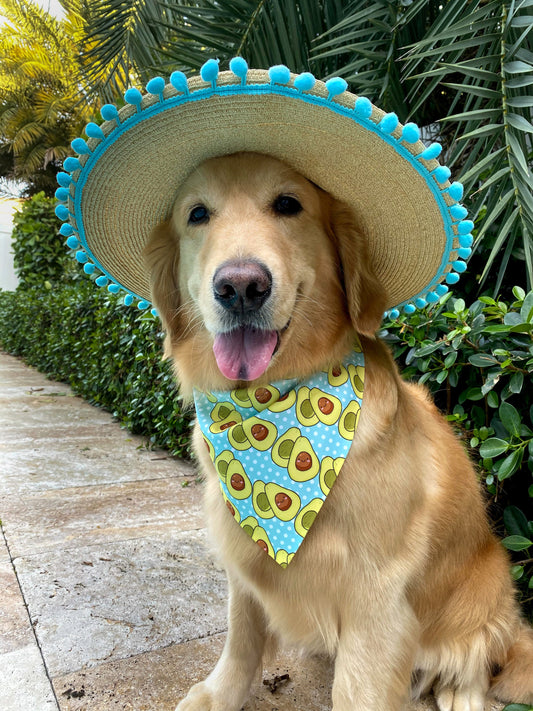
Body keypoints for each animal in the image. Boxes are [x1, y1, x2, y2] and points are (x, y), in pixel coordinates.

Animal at [144, 152, 532, 711]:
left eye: (289, 204)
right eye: (197, 214)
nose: (240, 287)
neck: (267, 409)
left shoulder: (377, 595)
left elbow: (358, 689)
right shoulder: (243, 558)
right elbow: (241, 637)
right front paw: (220, 695)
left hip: (488, 586)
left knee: (477, 661)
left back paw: (460, 693)